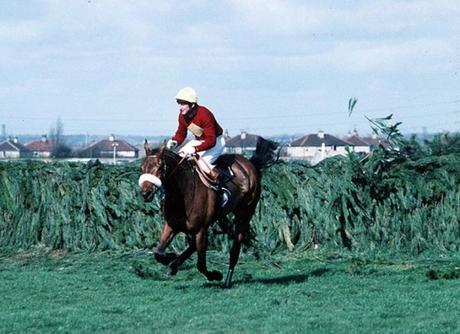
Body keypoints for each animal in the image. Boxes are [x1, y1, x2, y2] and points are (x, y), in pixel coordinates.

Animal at [138, 137, 278, 288]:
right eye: (142, 168)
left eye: (159, 167)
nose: (145, 193)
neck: (183, 192)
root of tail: (249, 164)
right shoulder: (171, 225)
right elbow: (158, 253)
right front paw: (171, 261)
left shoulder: (200, 229)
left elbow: (200, 264)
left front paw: (215, 275)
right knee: (195, 245)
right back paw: (174, 264)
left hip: (244, 214)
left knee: (235, 247)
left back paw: (227, 280)